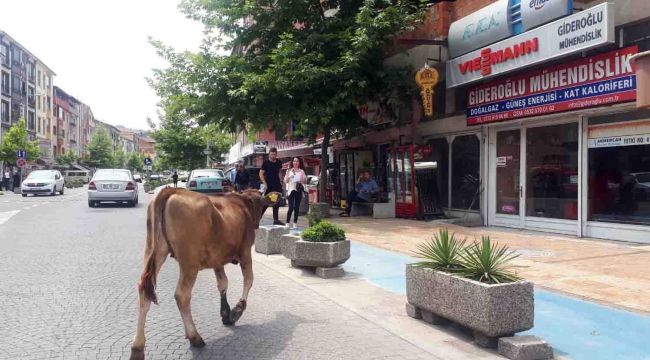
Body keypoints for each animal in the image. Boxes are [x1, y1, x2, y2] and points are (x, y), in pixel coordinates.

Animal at [129, 187, 278, 358]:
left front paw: (225, 313)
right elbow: (248, 279)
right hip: (189, 263)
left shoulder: (218, 259)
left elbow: (223, 283)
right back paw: (195, 337)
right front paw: (237, 310)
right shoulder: (246, 251)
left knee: (143, 291)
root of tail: (173, 190)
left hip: (154, 251)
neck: (243, 202)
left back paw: (137, 348)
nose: (257, 225)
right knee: (182, 295)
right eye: (262, 206)